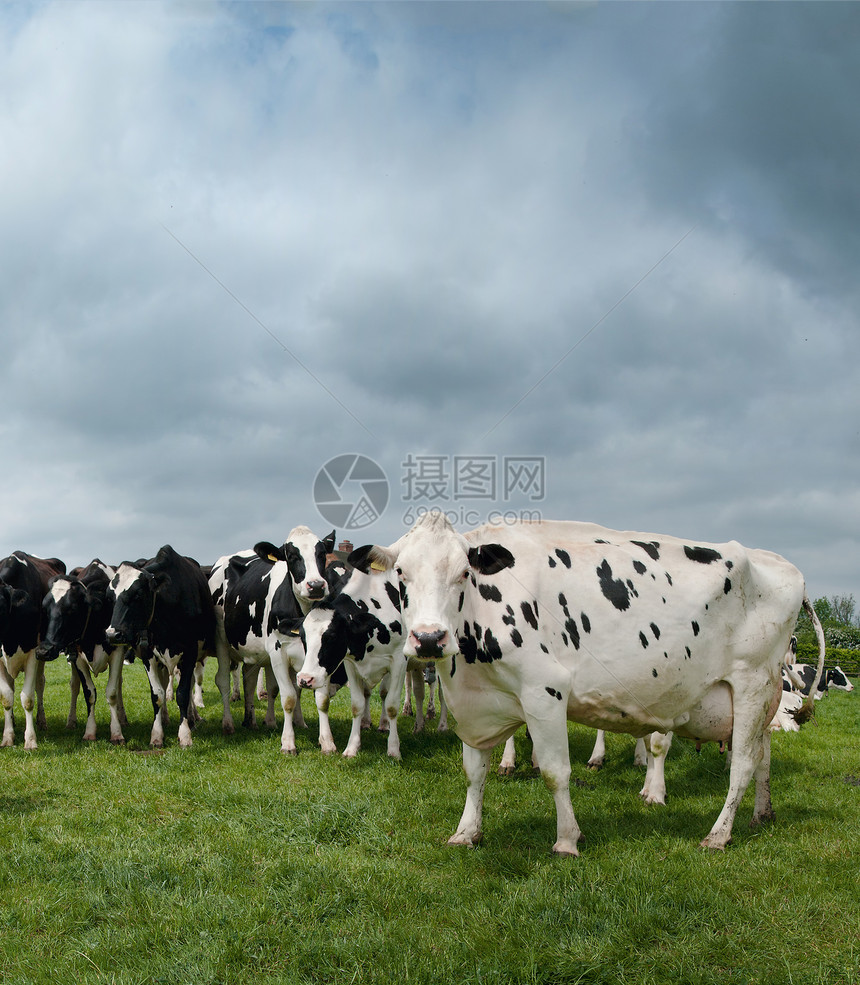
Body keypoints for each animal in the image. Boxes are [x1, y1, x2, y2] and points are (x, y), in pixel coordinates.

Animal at [0, 548, 66, 748]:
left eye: (0, 608)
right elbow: (7, 696)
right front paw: (7, 737)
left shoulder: (32, 654)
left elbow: (28, 698)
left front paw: (30, 740)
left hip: (43, 655)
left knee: (40, 683)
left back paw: (41, 721)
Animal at [36, 556, 127, 740]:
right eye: (46, 609)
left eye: (71, 610)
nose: (44, 650)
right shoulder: (77, 656)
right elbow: (89, 693)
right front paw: (90, 731)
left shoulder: (118, 652)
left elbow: (112, 691)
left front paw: (116, 733)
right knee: (74, 685)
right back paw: (71, 721)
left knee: (119, 683)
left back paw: (123, 719)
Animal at [105, 544, 214, 744]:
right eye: (111, 597)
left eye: (138, 594)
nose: (112, 634)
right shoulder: (148, 653)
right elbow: (157, 694)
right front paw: (156, 734)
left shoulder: (190, 652)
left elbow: (183, 693)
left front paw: (185, 734)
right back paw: (164, 718)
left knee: (189, 684)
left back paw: (192, 718)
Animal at [352, 508, 828, 852]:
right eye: (401, 575)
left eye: (463, 574)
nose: (429, 638)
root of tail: (780, 563)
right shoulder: (477, 703)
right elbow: (474, 772)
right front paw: (467, 832)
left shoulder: (544, 692)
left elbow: (556, 773)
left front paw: (567, 839)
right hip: (760, 698)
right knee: (763, 756)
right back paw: (761, 814)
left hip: (751, 683)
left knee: (743, 764)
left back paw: (718, 834)